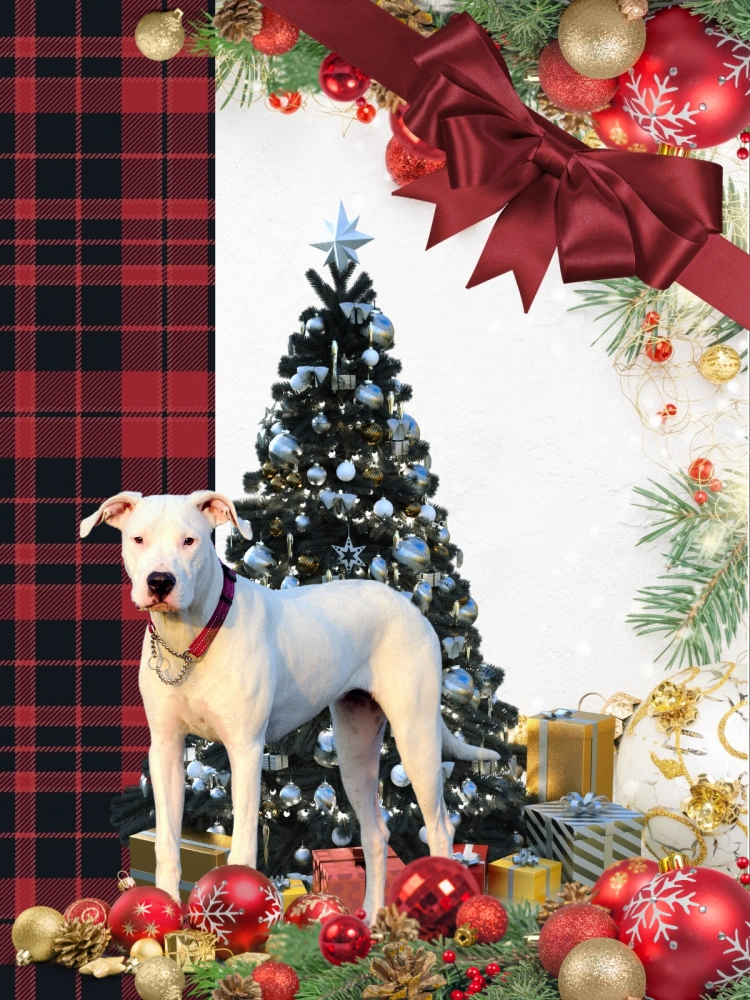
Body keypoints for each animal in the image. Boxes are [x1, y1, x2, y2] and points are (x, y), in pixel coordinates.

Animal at [81, 488, 500, 916]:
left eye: (189, 540)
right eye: (138, 539)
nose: (160, 581)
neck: (191, 637)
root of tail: (410, 605)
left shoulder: (245, 749)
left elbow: (243, 847)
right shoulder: (165, 748)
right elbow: (166, 844)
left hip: (416, 738)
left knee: (439, 827)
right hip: (354, 752)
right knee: (376, 833)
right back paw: (370, 919)